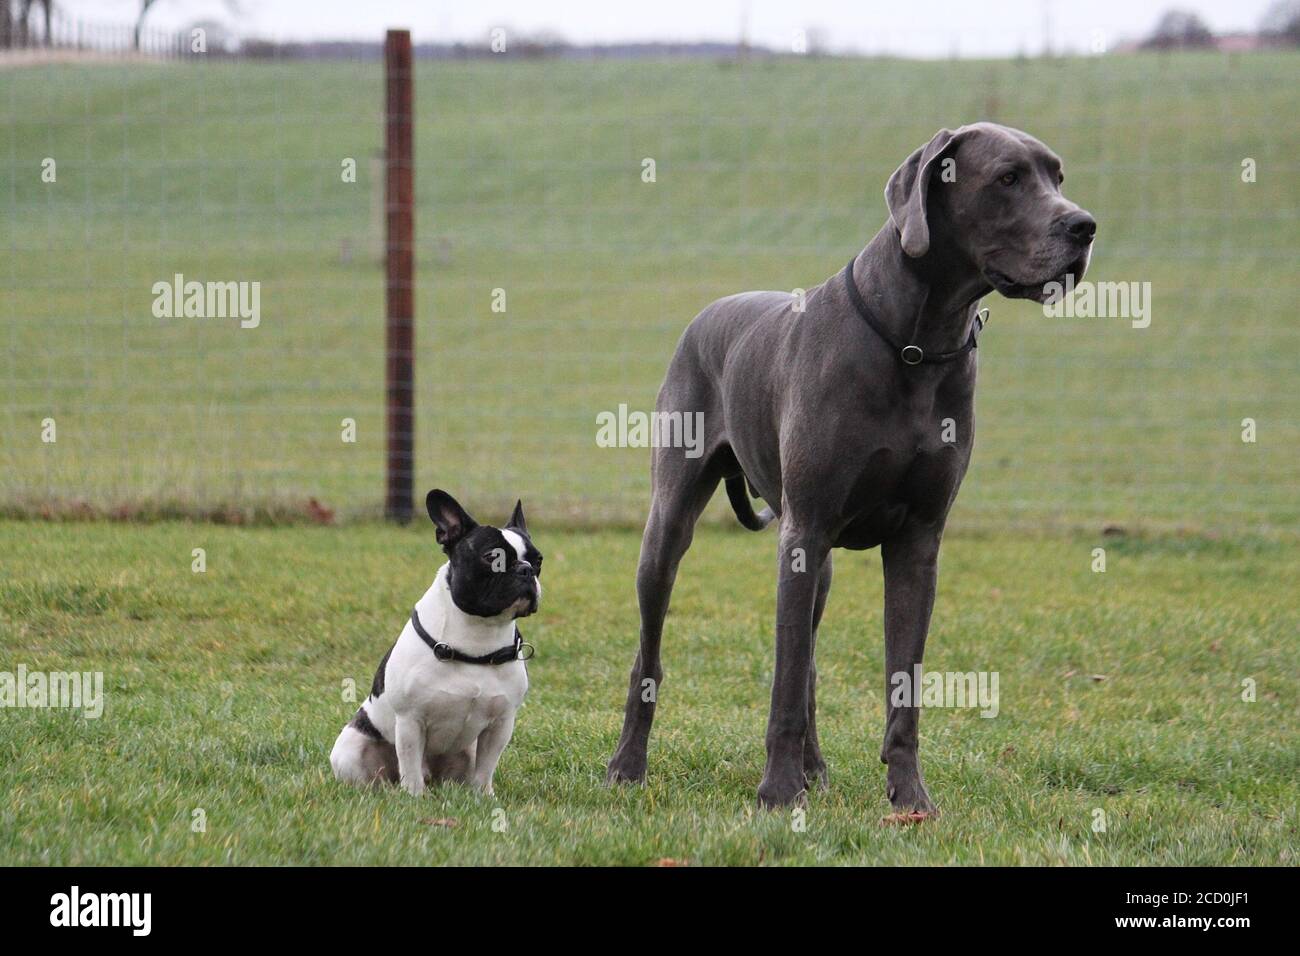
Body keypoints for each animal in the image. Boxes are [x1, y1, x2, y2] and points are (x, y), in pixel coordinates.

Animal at [332, 489, 546, 796]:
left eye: (538, 561)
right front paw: (414, 797)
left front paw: (484, 797)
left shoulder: (501, 723)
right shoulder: (410, 720)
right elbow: (410, 764)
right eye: (491, 557)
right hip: (351, 749)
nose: (526, 570)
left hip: (466, 753)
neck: (478, 637)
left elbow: (486, 767)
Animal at [608, 119, 1097, 811]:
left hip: (819, 563)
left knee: (809, 658)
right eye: (1008, 178)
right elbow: (784, 686)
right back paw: (628, 764)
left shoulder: (918, 542)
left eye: (1058, 176)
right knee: (653, 652)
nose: (1085, 226)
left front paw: (910, 797)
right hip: (671, 527)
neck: (918, 342)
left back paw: (815, 767)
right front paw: (777, 794)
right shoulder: (805, 532)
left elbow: (901, 685)